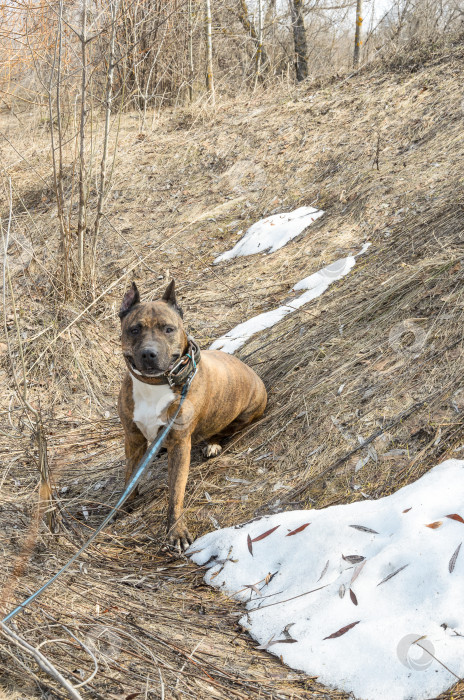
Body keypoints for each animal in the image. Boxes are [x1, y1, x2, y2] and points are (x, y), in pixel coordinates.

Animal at [118, 282, 266, 548]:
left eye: (168, 329)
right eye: (134, 330)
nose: (149, 353)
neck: (155, 385)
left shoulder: (179, 444)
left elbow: (176, 491)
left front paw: (176, 531)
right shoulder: (133, 438)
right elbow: (130, 476)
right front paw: (124, 505)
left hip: (244, 412)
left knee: (222, 431)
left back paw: (213, 445)